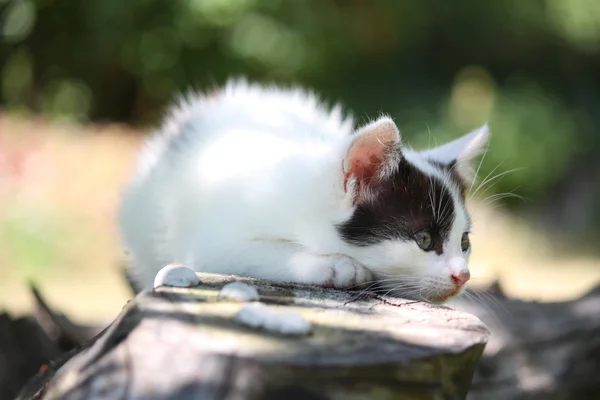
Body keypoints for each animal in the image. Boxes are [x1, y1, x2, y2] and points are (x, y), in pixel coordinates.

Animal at [117, 79, 488, 304]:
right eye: (423, 239)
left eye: (464, 242)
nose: (463, 275)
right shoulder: (212, 240)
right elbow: (251, 252)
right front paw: (337, 267)